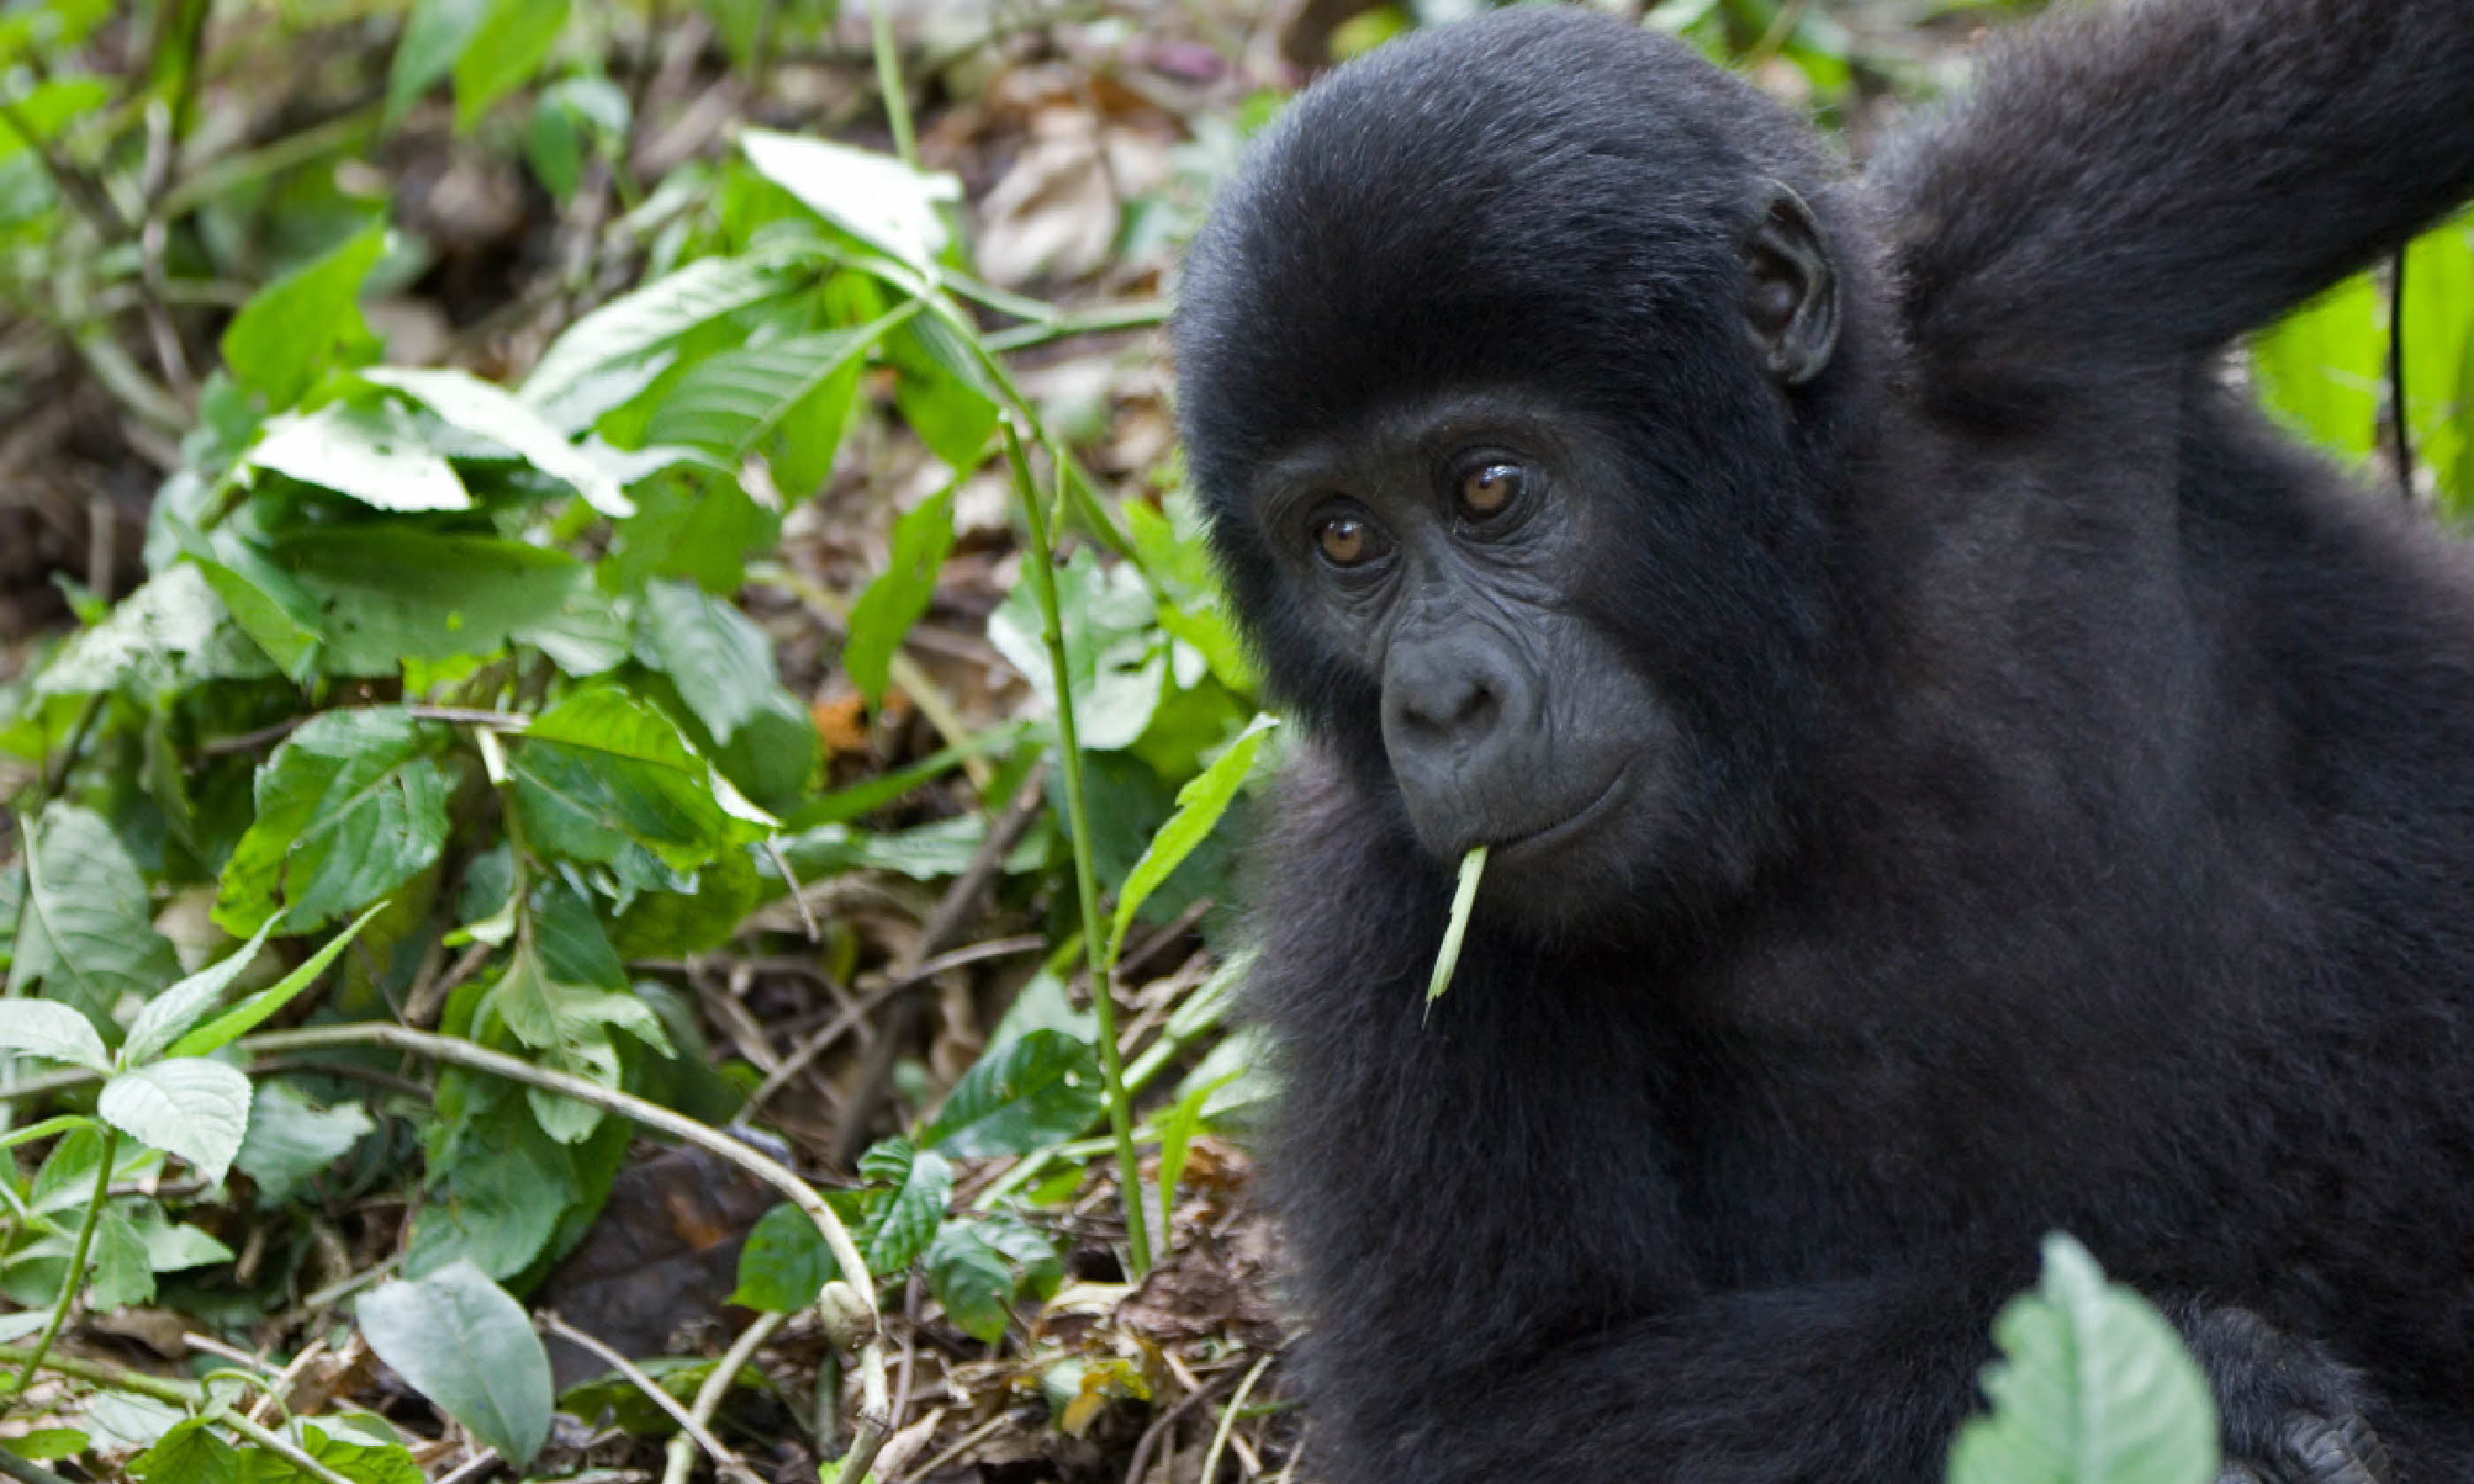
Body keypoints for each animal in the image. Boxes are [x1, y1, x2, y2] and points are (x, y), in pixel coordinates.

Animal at [1167, 3, 2474, 1484]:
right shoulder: (1381, 906)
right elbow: (1481, 1421)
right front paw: (2210, 1378)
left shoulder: (2023, 268)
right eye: (1342, 539)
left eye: (1487, 488)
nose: (1440, 702)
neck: (1826, 677)